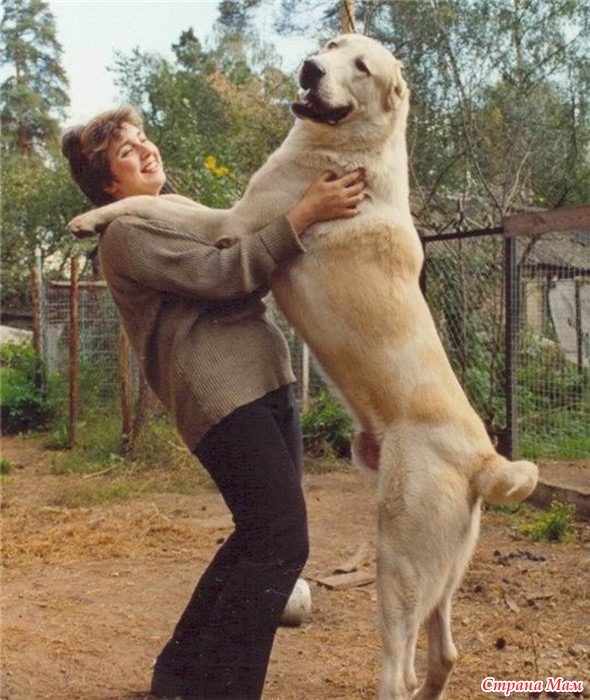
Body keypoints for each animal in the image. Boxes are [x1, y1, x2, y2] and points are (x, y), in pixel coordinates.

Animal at [71, 34, 540, 700]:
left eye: (361, 66)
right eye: (333, 44)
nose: (311, 68)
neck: (354, 151)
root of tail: (485, 460)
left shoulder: (232, 223)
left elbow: (155, 206)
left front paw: (91, 219)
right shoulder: (236, 215)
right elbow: (167, 200)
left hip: (399, 561)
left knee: (398, 672)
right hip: (441, 571)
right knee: (446, 653)